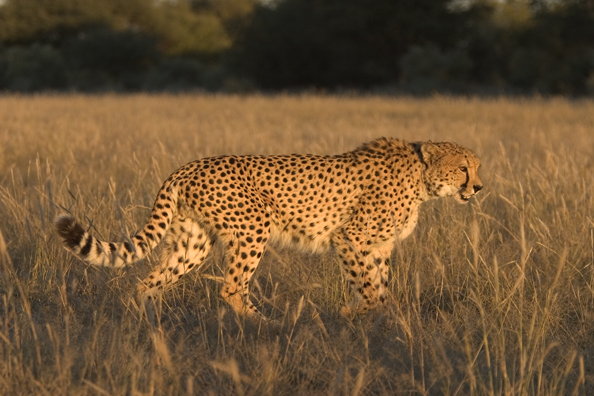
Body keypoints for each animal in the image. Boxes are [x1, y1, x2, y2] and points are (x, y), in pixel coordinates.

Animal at [56, 138, 480, 318]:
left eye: (476, 167)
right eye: (463, 167)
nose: (478, 187)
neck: (422, 178)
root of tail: (188, 166)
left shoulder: (379, 246)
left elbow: (379, 286)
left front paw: (382, 322)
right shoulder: (351, 237)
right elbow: (368, 286)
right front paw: (356, 314)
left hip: (193, 242)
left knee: (149, 282)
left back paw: (150, 327)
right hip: (253, 226)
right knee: (230, 288)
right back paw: (263, 324)